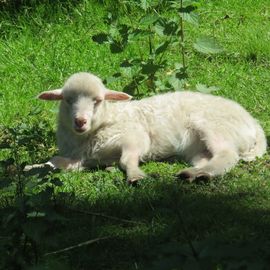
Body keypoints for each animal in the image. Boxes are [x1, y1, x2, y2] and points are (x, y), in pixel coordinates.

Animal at [26, 71, 266, 184]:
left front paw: (135, 176)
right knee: (211, 159)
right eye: (67, 100)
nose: (80, 121)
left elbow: (126, 160)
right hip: (198, 148)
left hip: (215, 128)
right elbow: (55, 162)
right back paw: (194, 174)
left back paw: (201, 174)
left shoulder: (134, 137)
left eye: (98, 100)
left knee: (227, 155)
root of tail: (253, 123)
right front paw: (32, 167)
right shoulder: (84, 160)